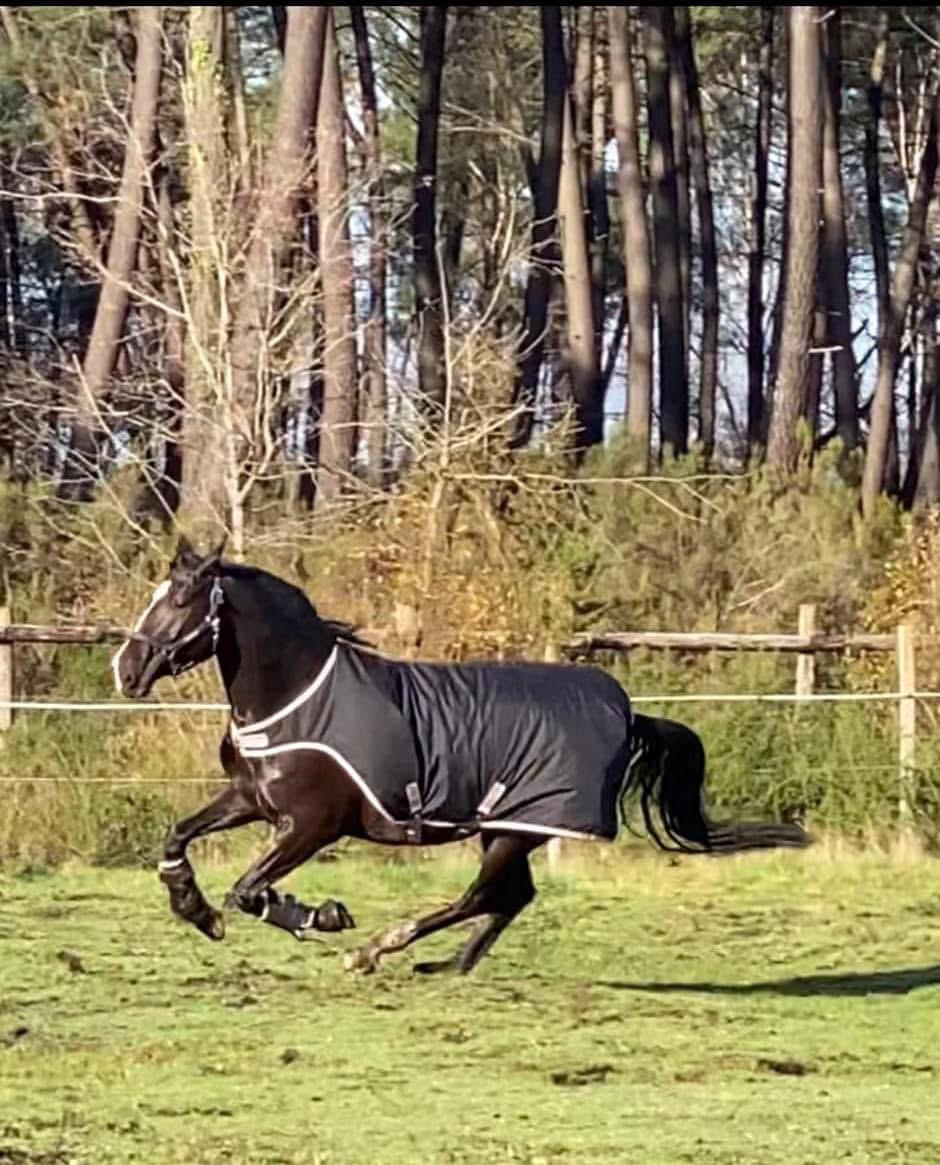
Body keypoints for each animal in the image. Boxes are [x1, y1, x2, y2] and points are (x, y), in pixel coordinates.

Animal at [111, 537, 811, 976]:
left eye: (180, 601)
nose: (126, 668)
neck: (298, 693)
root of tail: (629, 712)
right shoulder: (251, 800)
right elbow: (178, 838)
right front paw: (194, 910)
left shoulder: (312, 823)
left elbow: (250, 890)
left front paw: (322, 916)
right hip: (505, 829)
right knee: (510, 898)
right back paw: (448, 964)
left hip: (514, 828)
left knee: (485, 896)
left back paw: (379, 950)